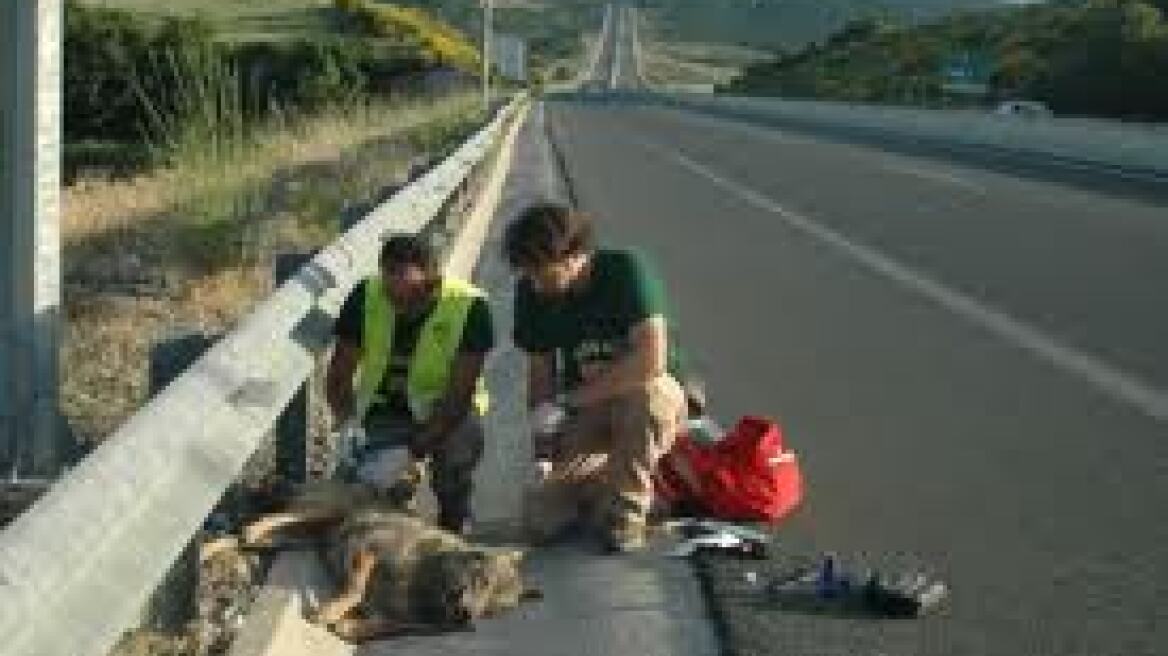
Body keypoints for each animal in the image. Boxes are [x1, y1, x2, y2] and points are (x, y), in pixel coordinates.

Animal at [204, 478, 541, 639]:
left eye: (495, 610)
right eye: (482, 579)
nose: (466, 617)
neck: (426, 584)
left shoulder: (407, 623)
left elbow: (373, 626)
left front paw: (348, 624)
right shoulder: (366, 548)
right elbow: (355, 589)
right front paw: (330, 611)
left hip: (303, 535)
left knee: (245, 538)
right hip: (325, 512)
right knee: (255, 527)